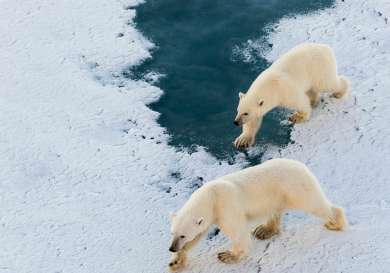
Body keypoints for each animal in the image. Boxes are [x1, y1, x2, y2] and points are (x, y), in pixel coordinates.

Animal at [169, 157, 346, 270]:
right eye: (173, 233)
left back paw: (335, 222)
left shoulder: (226, 207)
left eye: (182, 235)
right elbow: (197, 236)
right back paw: (264, 230)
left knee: (314, 204)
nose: (171, 248)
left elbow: (238, 233)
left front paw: (227, 256)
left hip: (295, 187)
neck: (211, 196)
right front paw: (176, 262)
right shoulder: (210, 215)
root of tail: (302, 166)